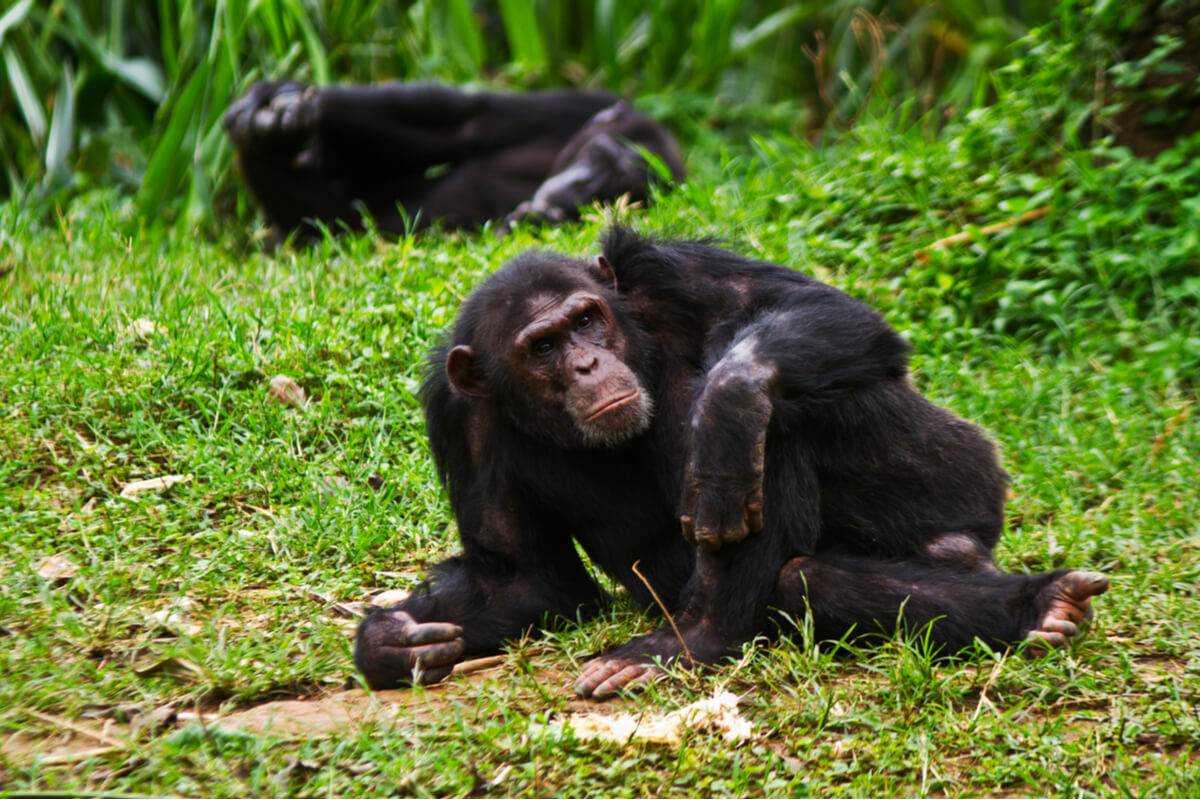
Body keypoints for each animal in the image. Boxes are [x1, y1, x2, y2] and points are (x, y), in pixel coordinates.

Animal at [219, 82, 681, 237]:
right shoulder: (577, 106)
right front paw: (271, 98)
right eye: (599, 154)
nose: (581, 183)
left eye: (611, 192)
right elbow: (468, 120)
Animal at [352, 226, 1104, 700]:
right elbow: (525, 579)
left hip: (958, 474)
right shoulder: (461, 417)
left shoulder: (662, 272)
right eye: (541, 348)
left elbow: (827, 314)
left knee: (785, 415)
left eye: (587, 320)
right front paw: (391, 642)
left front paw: (730, 407)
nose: (587, 363)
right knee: (804, 580)